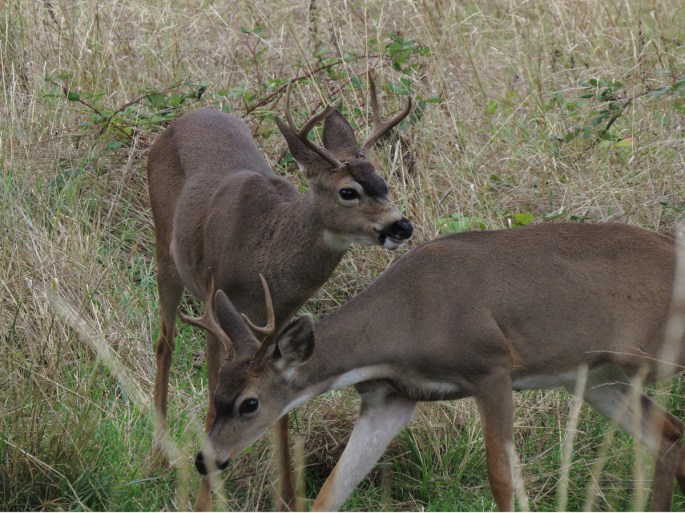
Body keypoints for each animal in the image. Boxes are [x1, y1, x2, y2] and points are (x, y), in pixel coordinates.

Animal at [147, 76, 413, 510]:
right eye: (348, 191)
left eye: (383, 183)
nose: (402, 226)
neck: (263, 257)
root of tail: (182, 119)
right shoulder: (216, 305)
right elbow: (213, 395)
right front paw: (205, 499)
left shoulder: (282, 316)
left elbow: (281, 405)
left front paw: (288, 496)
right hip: (166, 251)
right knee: (164, 343)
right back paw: (158, 450)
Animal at [187, 222, 685, 511]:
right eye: (217, 394)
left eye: (250, 403)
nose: (205, 460)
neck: (409, 317)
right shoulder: (390, 398)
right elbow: (331, 491)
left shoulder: (492, 367)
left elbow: (501, 479)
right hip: (599, 377)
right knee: (668, 436)